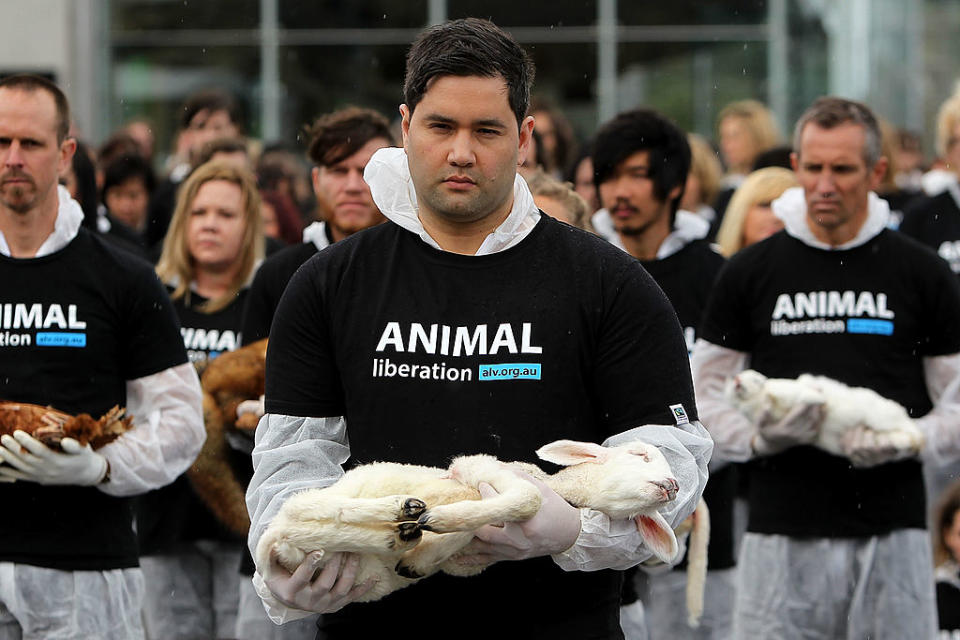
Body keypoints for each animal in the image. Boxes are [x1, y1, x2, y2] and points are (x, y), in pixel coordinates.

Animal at [255, 436, 688, 604]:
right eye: (639, 455)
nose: (674, 485)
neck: (559, 488)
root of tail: (271, 559)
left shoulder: (466, 562)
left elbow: (464, 541)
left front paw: (420, 556)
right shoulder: (476, 467)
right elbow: (528, 499)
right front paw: (442, 518)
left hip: (324, 559)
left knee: (301, 534)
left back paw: (398, 535)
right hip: (323, 502)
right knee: (297, 513)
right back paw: (397, 512)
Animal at [728, 370, 924, 460]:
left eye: (755, 379)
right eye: (738, 376)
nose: (736, 379)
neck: (757, 400)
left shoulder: (785, 392)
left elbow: (801, 394)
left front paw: (820, 399)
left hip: (883, 418)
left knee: (912, 429)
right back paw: (902, 444)